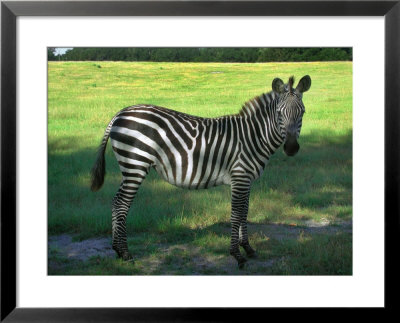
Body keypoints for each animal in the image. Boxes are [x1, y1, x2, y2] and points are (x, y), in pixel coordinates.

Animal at [91, 75, 312, 268]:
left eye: (302, 112)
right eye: (279, 113)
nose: (291, 148)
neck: (253, 136)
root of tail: (120, 113)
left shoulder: (246, 180)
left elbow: (244, 212)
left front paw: (248, 248)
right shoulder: (239, 176)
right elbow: (236, 214)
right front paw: (237, 255)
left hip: (130, 167)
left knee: (116, 202)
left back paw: (117, 251)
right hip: (135, 164)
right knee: (121, 204)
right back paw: (125, 253)